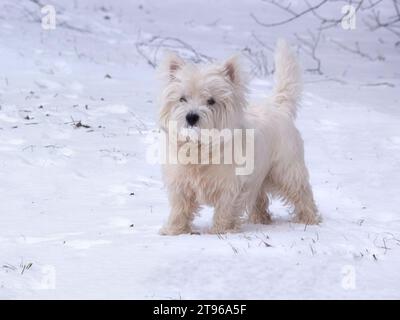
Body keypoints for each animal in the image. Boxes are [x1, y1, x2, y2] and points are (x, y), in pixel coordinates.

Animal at [158, 40, 320, 235]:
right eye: (182, 99)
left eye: (211, 101)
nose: (191, 117)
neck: (201, 148)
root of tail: (278, 107)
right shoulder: (181, 183)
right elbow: (179, 209)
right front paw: (174, 230)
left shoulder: (230, 184)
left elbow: (225, 208)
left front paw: (221, 230)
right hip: (259, 176)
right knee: (260, 197)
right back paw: (260, 219)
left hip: (286, 168)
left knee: (301, 192)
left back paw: (310, 219)